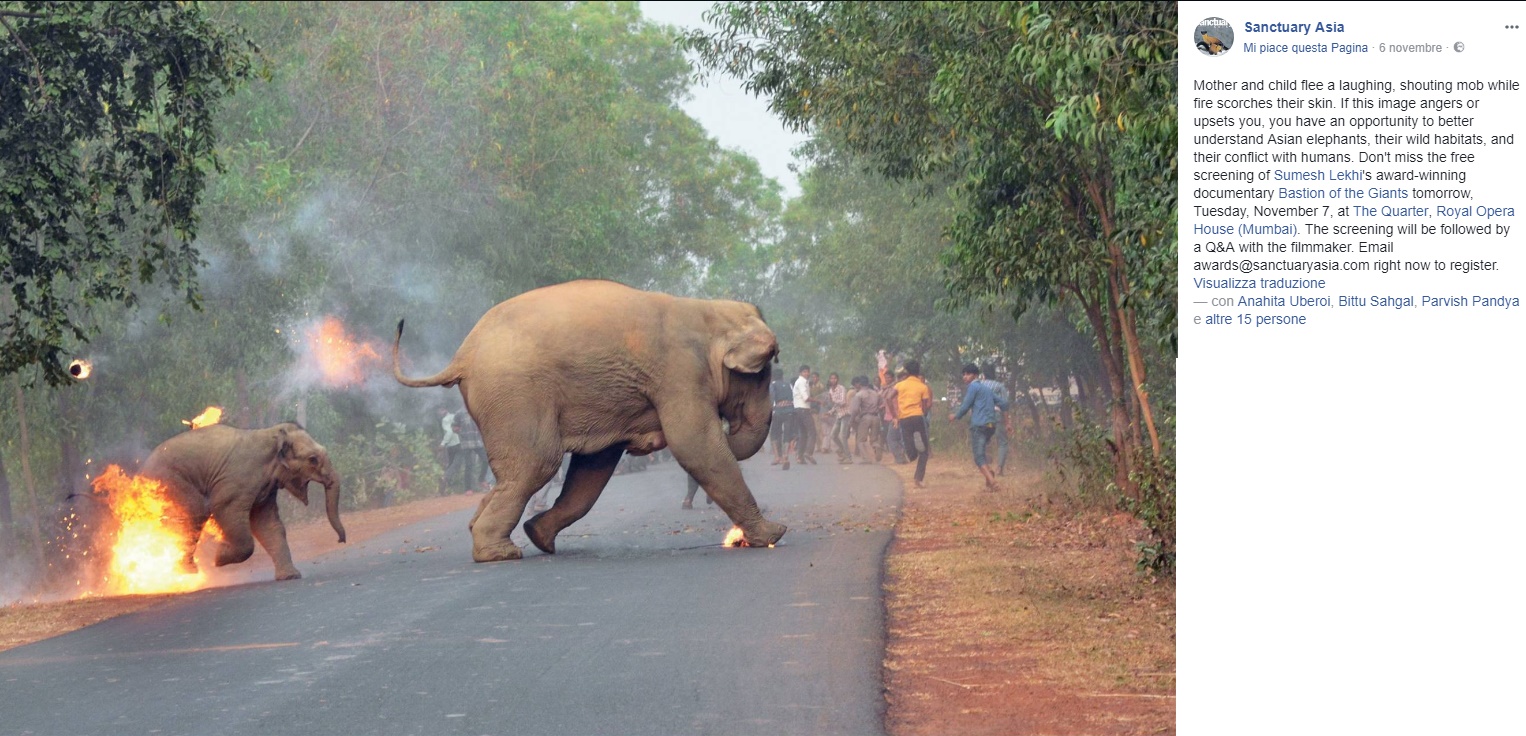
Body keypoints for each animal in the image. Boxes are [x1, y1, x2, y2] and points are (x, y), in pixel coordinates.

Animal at [138, 422, 346, 581]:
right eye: (313, 459)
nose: (340, 540)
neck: (272, 433)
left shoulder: (265, 489)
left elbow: (268, 524)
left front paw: (290, 577)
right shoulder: (236, 481)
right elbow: (225, 510)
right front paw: (219, 557)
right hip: (171, 482)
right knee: (193, 515)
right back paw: (186, 572)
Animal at [391, 279, 788, 562]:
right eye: (763, 373)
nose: (731, 427)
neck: (708, 310)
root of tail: (462, 355)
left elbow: (594, 467)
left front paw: (539, 534)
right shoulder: (680, 373)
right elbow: (695, 445)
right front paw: (774, 534)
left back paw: (502, 536)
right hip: (515, 393)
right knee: (539, 462)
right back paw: (499, 554)